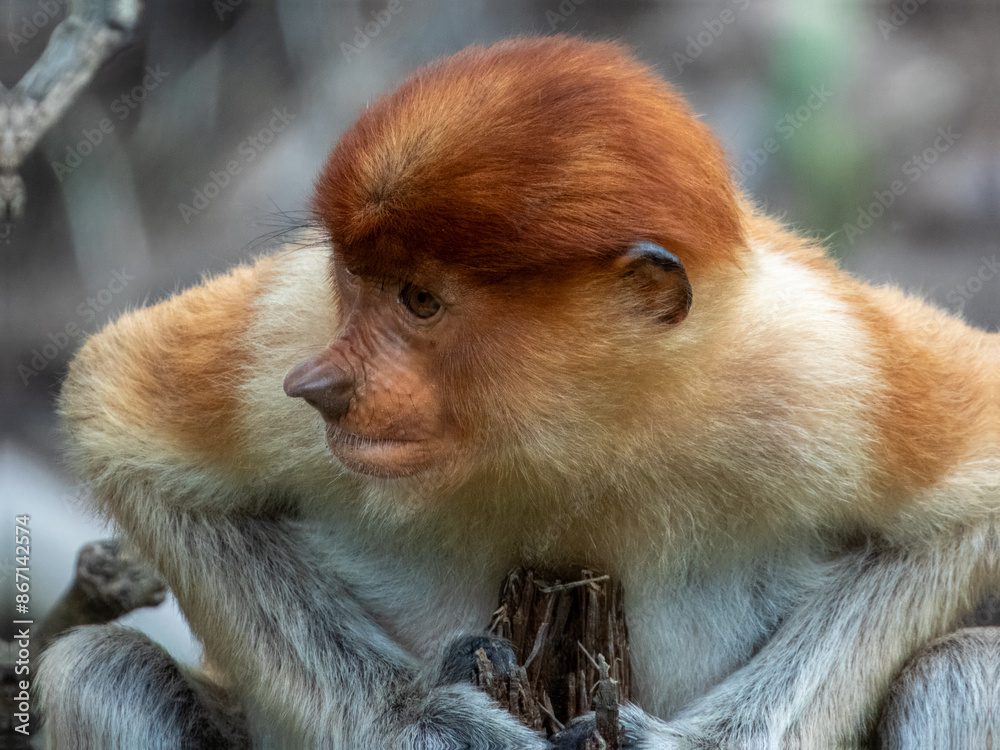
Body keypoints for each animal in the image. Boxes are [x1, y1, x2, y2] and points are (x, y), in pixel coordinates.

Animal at [38, 36, 998, 749]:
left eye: (420, 300)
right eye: (355, 280)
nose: (319, 383)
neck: (571, 425)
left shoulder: (820, 368)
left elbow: (970, 493)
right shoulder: (287, 324)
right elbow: (113, 402)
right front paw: (435, 723)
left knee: (962, 675)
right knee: (97, 675)